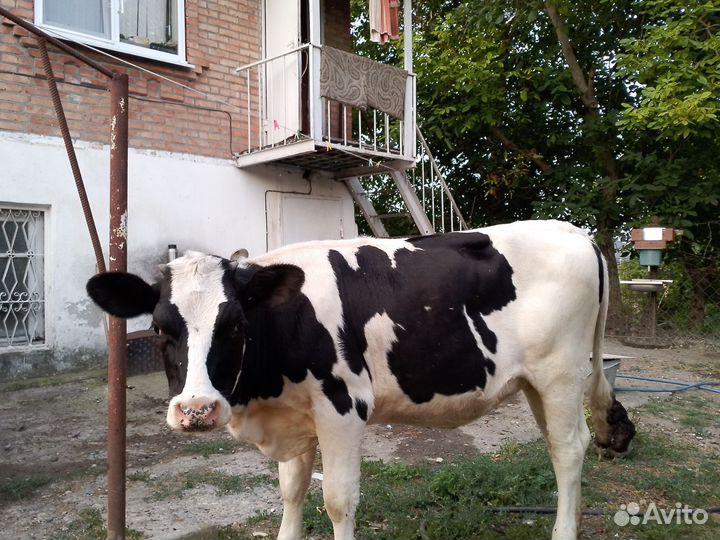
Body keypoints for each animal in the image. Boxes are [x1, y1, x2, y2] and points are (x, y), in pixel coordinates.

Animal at [86, 219, 635, 540]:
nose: (196, 409)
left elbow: (337, 499)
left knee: (568, 450)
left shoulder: (342, 409)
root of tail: (574, 231)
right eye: (161, 328)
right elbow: (291, 490)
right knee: (561, 444)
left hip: (561, 372)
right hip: (536, 382)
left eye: (235, 325)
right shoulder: (297, 413)